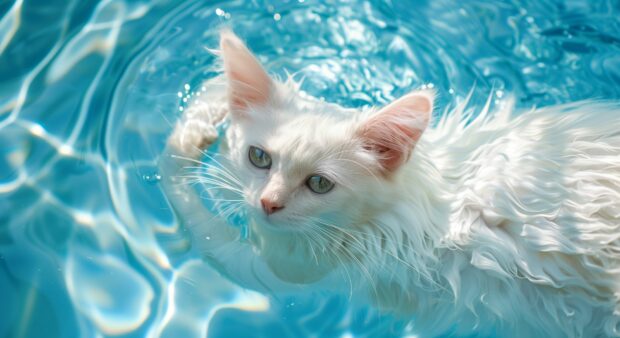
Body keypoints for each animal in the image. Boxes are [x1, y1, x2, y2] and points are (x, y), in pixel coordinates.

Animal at [161, 30, 620, 336]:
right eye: (259, 158)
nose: (268, 204)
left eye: (320, 184)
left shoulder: (284, 270)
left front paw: (199, 120)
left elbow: (189, 209)